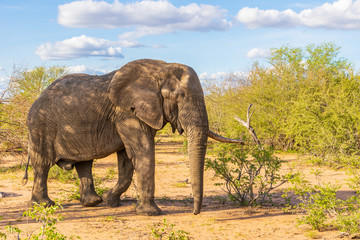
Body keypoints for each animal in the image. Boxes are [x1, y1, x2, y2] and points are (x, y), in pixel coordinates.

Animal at [23, 58, 243, 216]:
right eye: (180, 97)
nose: (195, 213)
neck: (160, 69)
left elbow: (127, 159)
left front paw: (111, 201)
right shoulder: (126, 112)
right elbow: (143, 151)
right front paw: (151, 213)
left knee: (85, 163)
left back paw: (93, 202)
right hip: (41, 126)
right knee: (42, 164)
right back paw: (44, 205)